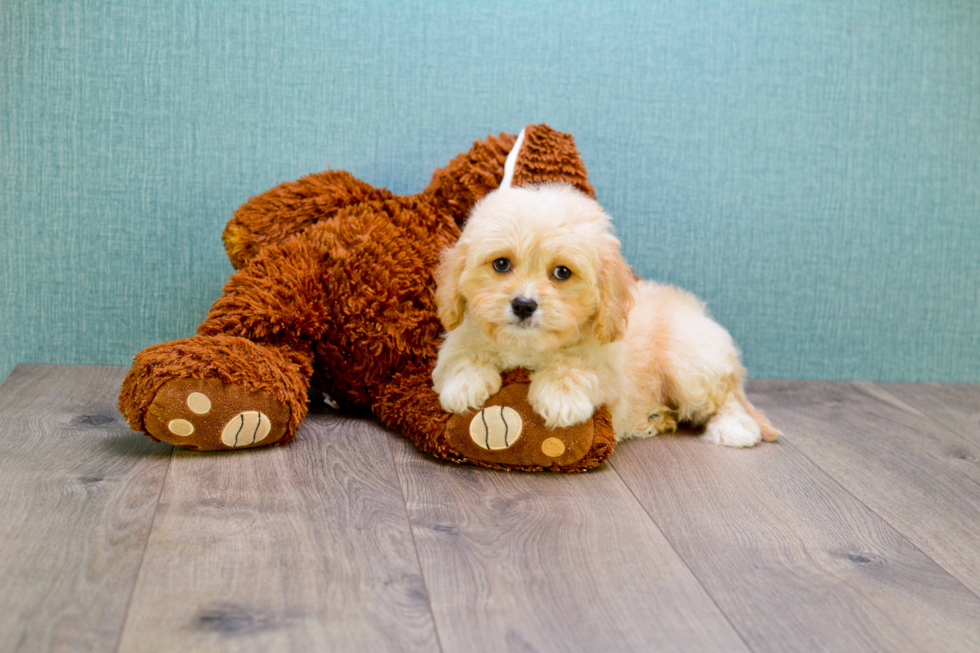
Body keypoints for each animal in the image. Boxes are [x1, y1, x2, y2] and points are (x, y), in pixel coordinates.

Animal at [432, 185, 776, 448]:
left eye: (562, 273)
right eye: (501, 264)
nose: (524, 305)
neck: (527, 348)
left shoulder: (609, 368)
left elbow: (576, 365)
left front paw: (561, 398)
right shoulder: (457, 339)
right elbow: (462, 356)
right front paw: (464, 384)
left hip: (688, 361)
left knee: (727, 398)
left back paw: (733, 428)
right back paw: (651, 420)